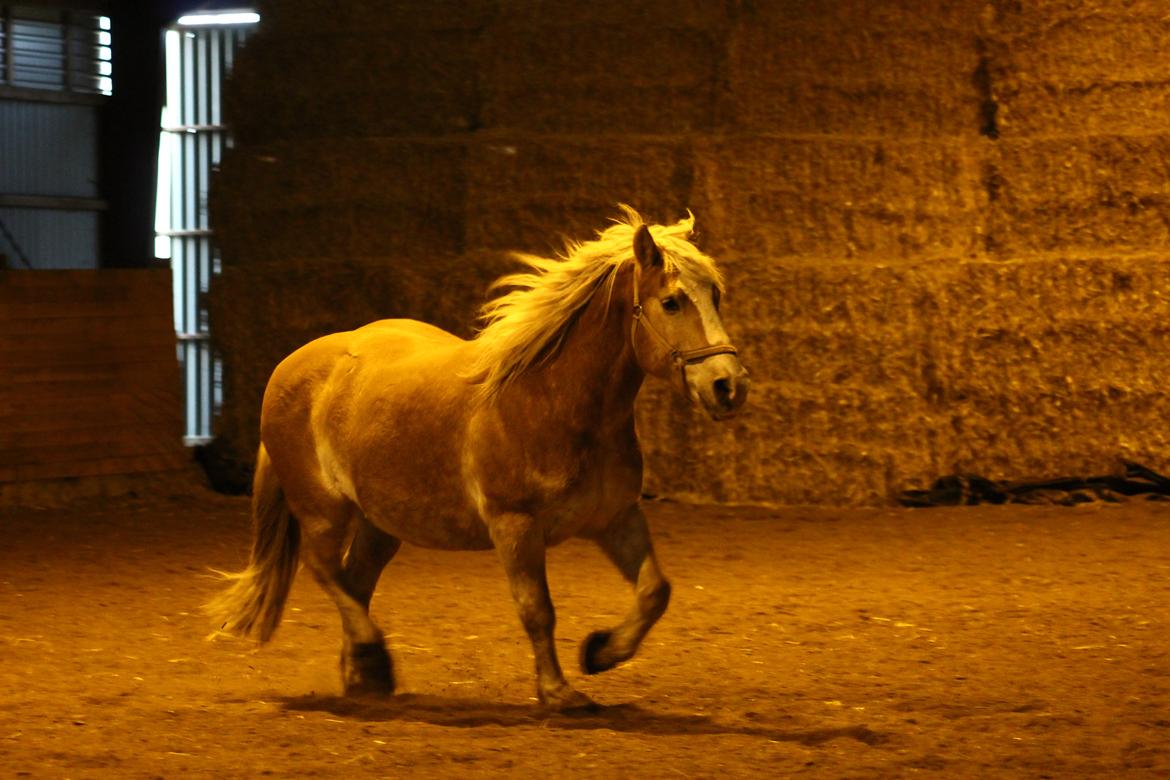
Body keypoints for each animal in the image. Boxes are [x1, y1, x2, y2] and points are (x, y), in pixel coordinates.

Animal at [208, 209, 748, 715]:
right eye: (672, 301)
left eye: (715, 295)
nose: (728, 386)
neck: (551, 400)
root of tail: (289, 366)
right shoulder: (515, 526)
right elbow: (537, 610)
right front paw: (558, 692)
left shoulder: (616, 517)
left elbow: (655, 590)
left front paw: (599, 653)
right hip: (322, 509)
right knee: (323, 569)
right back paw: (374, 659)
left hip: (380, 524)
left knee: (354, 583)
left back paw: (362, 675)